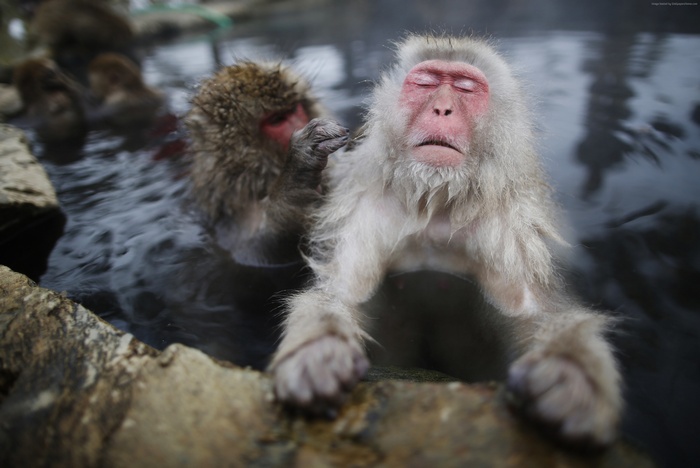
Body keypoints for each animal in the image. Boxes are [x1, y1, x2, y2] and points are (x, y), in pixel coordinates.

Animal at [185, 61, 348, 265]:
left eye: (294, 109)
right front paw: (295, 178)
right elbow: (255, 251)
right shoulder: (229, 221)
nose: (302, 123)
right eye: (277, 120)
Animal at [268, 35, 622, 448]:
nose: (442, 108)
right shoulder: (363, 213)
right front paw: (318, 351)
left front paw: (571, 376)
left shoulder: (510, 232)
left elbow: (534, 312)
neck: (434, 200)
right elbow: (342, 293)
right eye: (426, 82)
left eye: (467, 88)